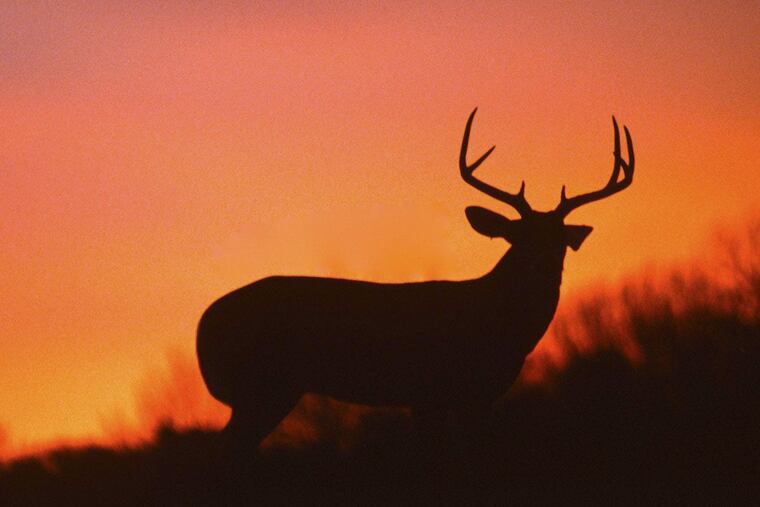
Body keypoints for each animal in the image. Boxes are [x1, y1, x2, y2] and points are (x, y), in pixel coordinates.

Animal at [197, 108, 634, 457]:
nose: (541, 266)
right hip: (264, 384)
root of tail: (205, 324)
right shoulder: (432, 390)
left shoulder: (475, 396)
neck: (495, 324)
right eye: (519, 237)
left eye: (559, 241)